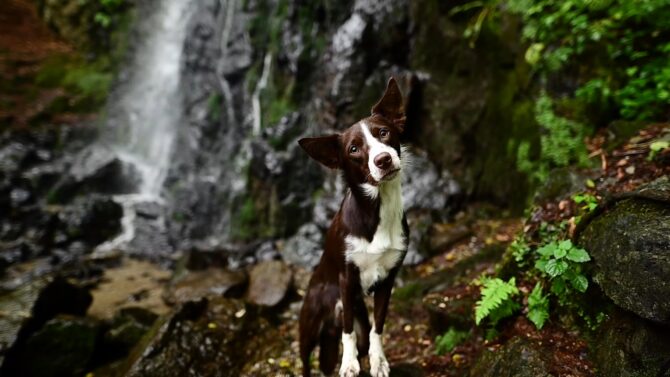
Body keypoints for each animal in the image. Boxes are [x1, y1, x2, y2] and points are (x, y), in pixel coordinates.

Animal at [300, 77, 410, 376]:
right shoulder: (347, 281)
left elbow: (378, 326)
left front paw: (379, 360)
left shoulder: (388, 279)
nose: (383, 160)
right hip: (308, 328)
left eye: (384, 133)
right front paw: (348, 364)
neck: (377, 209)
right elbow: (347, 331)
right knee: (306, 360)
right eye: (353, 149)